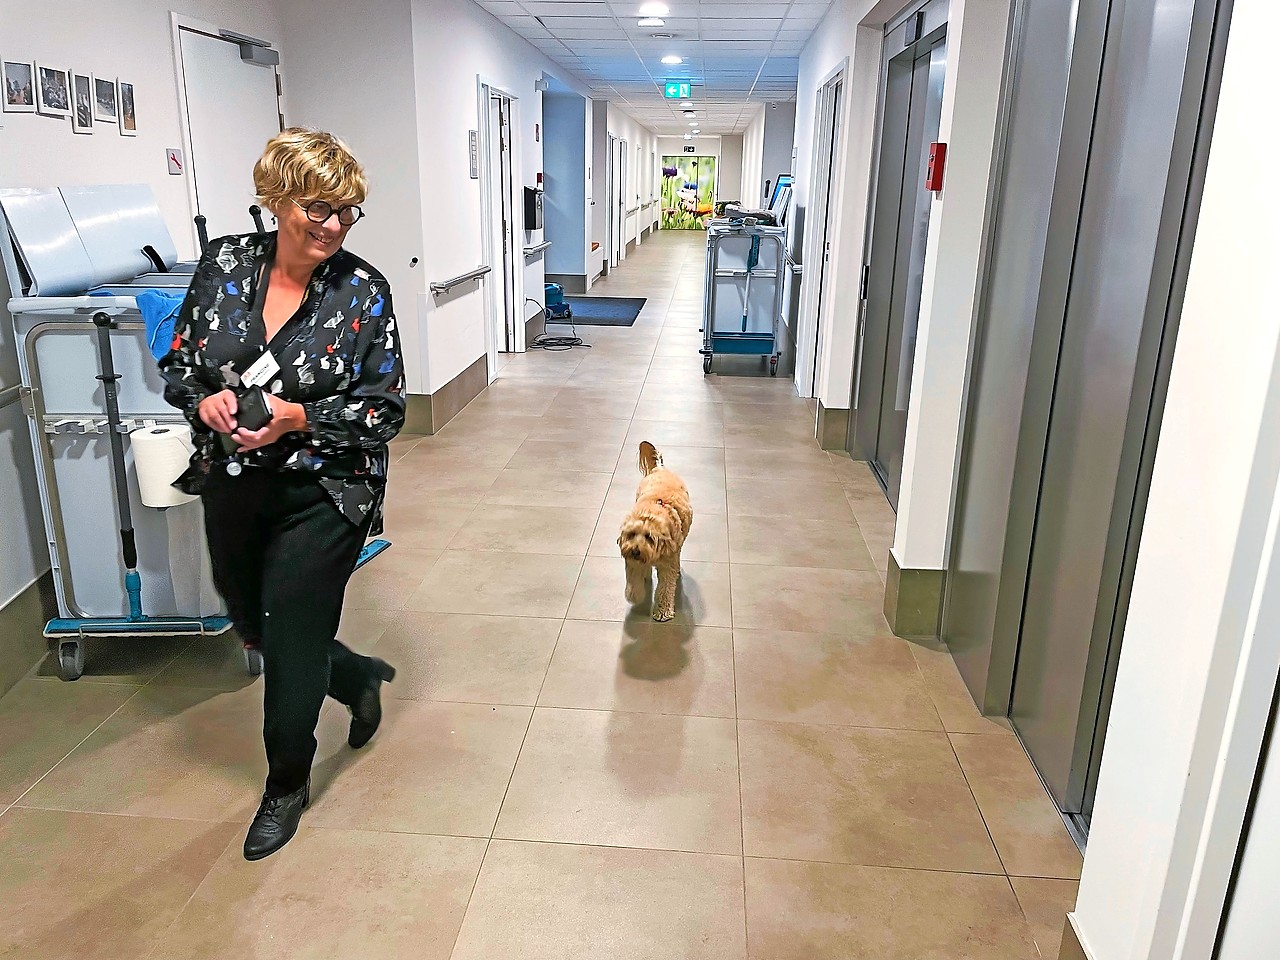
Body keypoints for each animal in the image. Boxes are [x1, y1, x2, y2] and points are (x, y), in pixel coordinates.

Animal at [616, 442, 696, 624]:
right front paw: (635, 595)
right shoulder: (632, 561)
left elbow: (665, 588)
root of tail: (660, 468)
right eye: (631, 534)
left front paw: (663, 611)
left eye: (649, 537)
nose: (635, 551)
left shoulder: (668, 562)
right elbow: (634, 578)